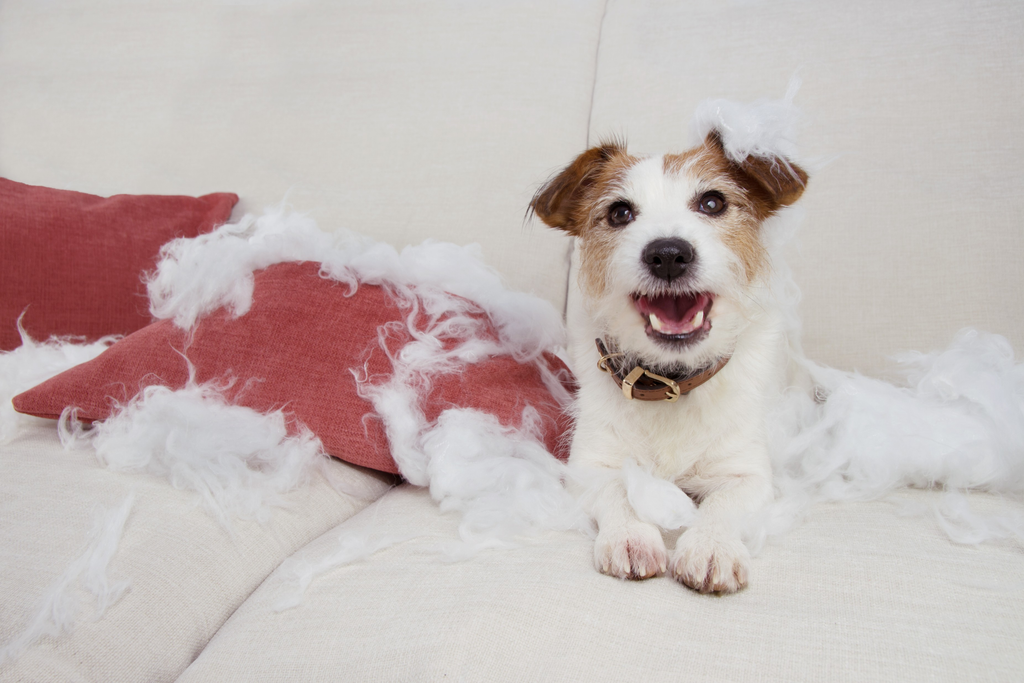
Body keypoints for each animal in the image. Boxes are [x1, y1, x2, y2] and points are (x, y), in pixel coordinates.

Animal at [528, 129, 806, 593]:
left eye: (712, 203)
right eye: (619, 212)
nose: (669, 253)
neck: (669, 383)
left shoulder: (747, 474)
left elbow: (725, 502)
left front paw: (711, 545)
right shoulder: (591, 466)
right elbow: (618, 491)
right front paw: (631, 536)